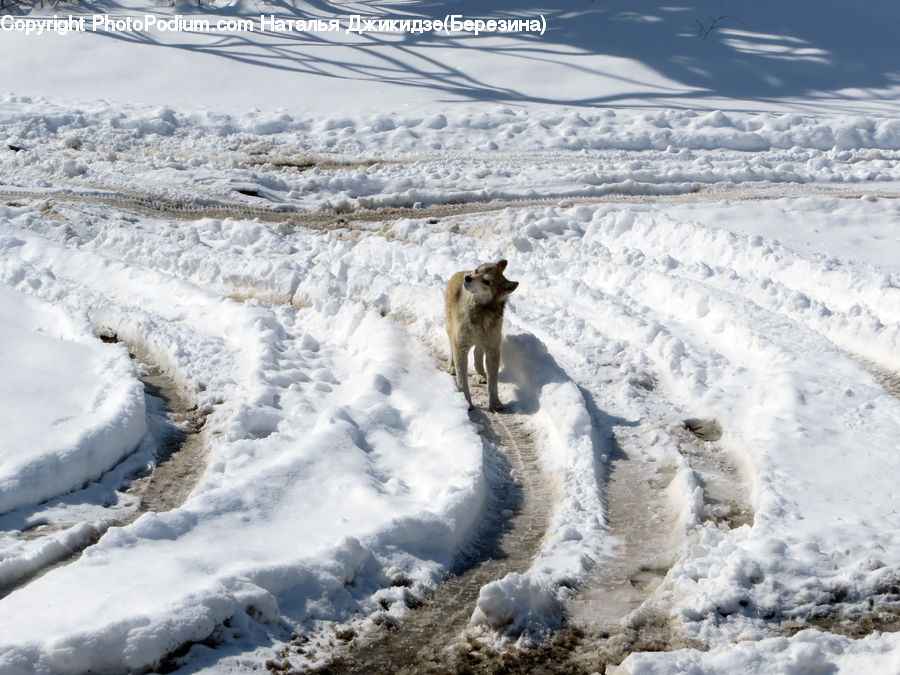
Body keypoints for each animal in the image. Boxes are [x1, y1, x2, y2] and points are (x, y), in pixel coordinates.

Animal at [445, 259, 519, 412]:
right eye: (477, 270)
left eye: (486, 281)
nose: (468, 277)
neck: (481, 310)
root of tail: (459, 271)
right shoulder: (461, 347)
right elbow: (462, 380)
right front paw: (466, 402)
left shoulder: (492, 348)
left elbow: (493, 381)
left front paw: (495, 403)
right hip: (451, 330)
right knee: (451, 348)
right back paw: (452, 367)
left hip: (482, 339)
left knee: (477, 353)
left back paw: (480, 374)